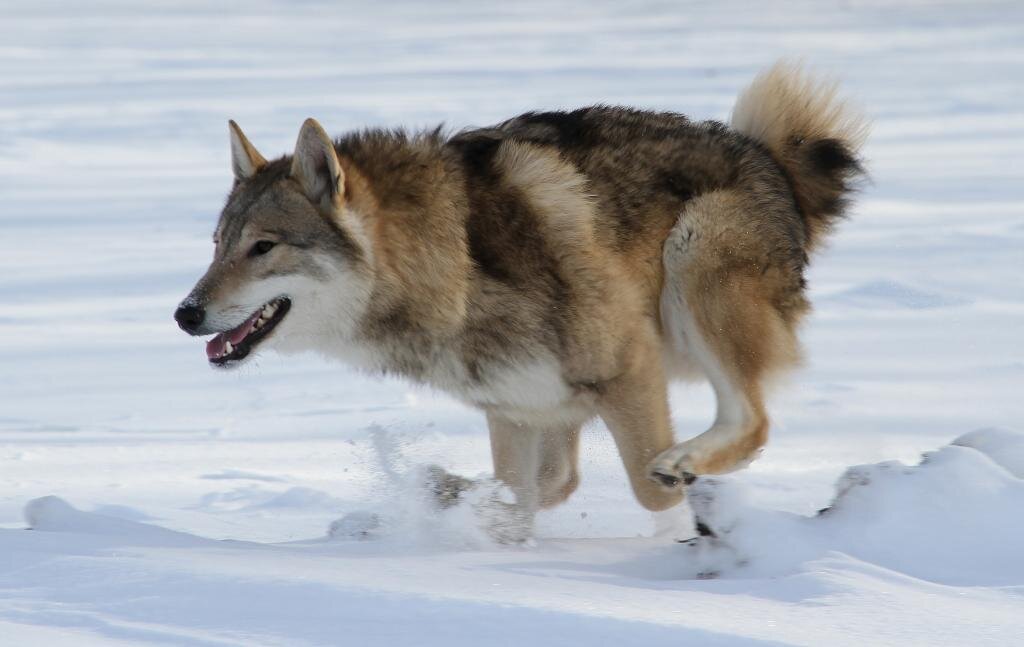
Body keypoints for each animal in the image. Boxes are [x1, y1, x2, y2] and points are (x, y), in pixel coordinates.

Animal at [174, 60, 864, 536]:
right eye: (217, 245)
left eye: (263, 248)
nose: (185, 314)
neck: (448, 260)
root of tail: (770, 161)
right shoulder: (515, 408)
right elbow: (519, 498)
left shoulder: (629, 368)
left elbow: (650, 494)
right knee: (565, 479)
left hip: (692, 264)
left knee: (752, 423)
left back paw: (692, 465)